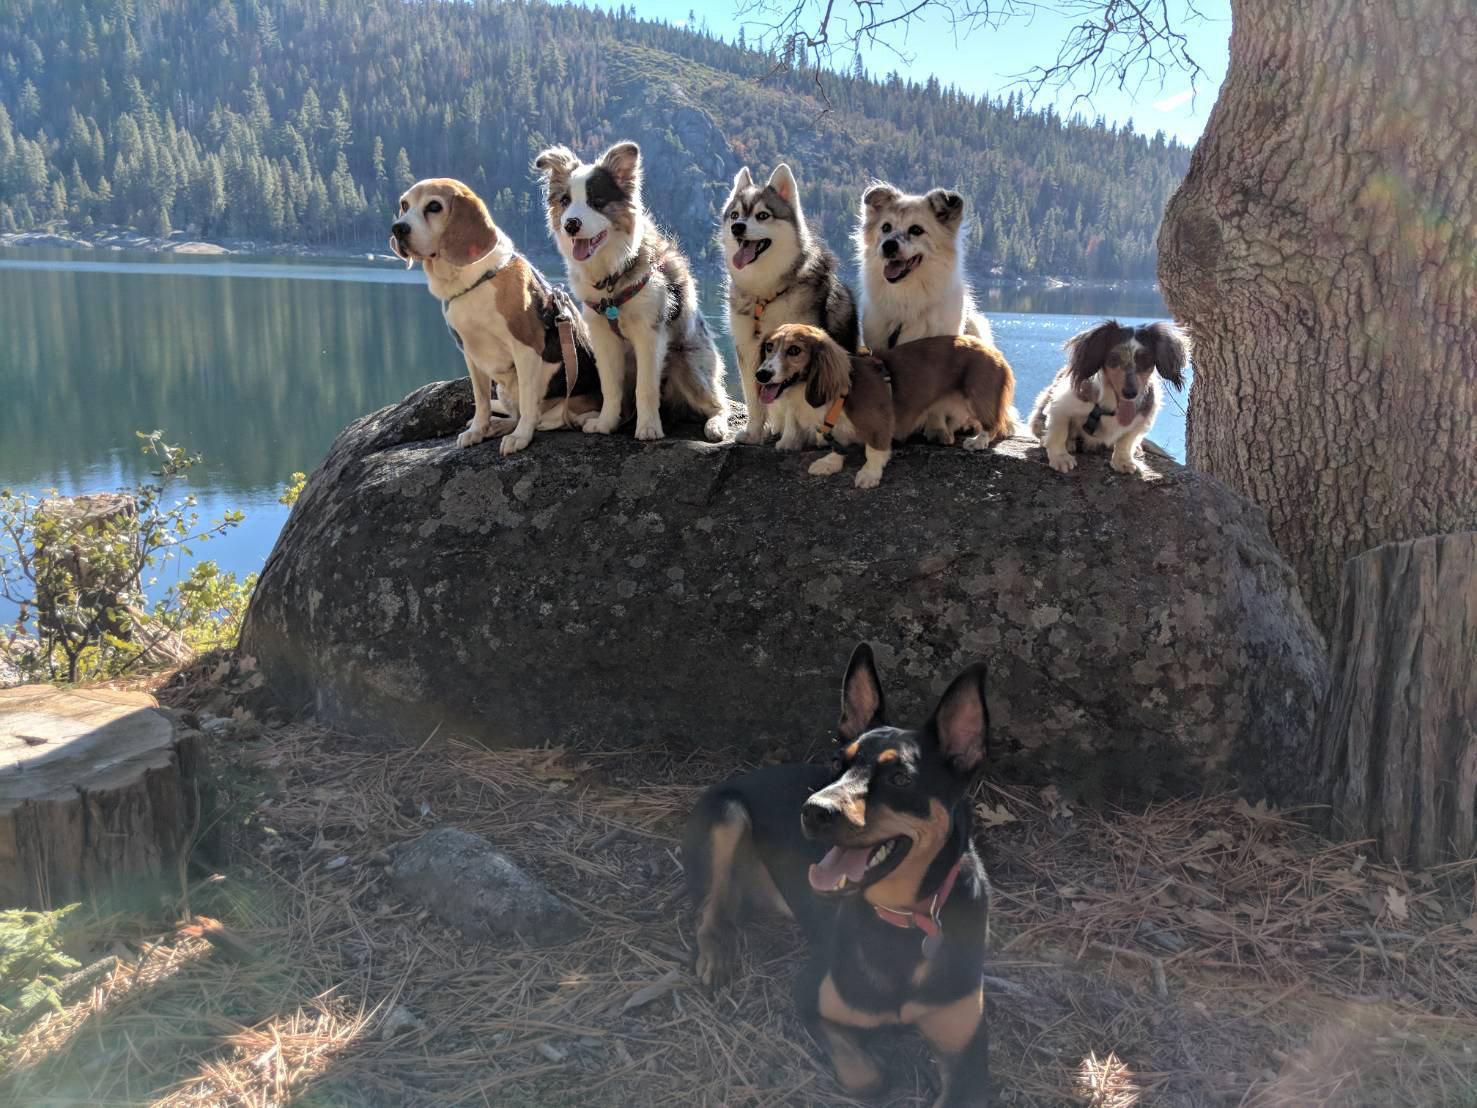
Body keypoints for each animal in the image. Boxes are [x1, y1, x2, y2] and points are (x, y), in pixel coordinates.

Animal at [537, 143, 732, 443]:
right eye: (565, 201)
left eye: (597, 201)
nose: (571, 224)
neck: (612, 277)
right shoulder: (603, 336)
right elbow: (610, 386)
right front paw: (605, 423)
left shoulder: (649, 334)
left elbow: (646, 387)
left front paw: (649, 428)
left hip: (687, 363)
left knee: (719, 403)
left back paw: (715, 425)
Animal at [679, 647, 992, 1105]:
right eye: (835, 762)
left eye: (901, 777)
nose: (814, 810)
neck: (900, 919)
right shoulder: (811, 995)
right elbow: (866, 1079)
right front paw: (886, 1067)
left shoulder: (966, 1050)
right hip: (726, 814)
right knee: (707, 909)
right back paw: (716, 953)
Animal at [720, 163, 862, 446]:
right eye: (735, 214)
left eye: (762, 215)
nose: (737, 227)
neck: (765, 294)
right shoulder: (749, 351)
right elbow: (755, 401)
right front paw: (754, 433)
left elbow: (790, 401)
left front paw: (790, 439)